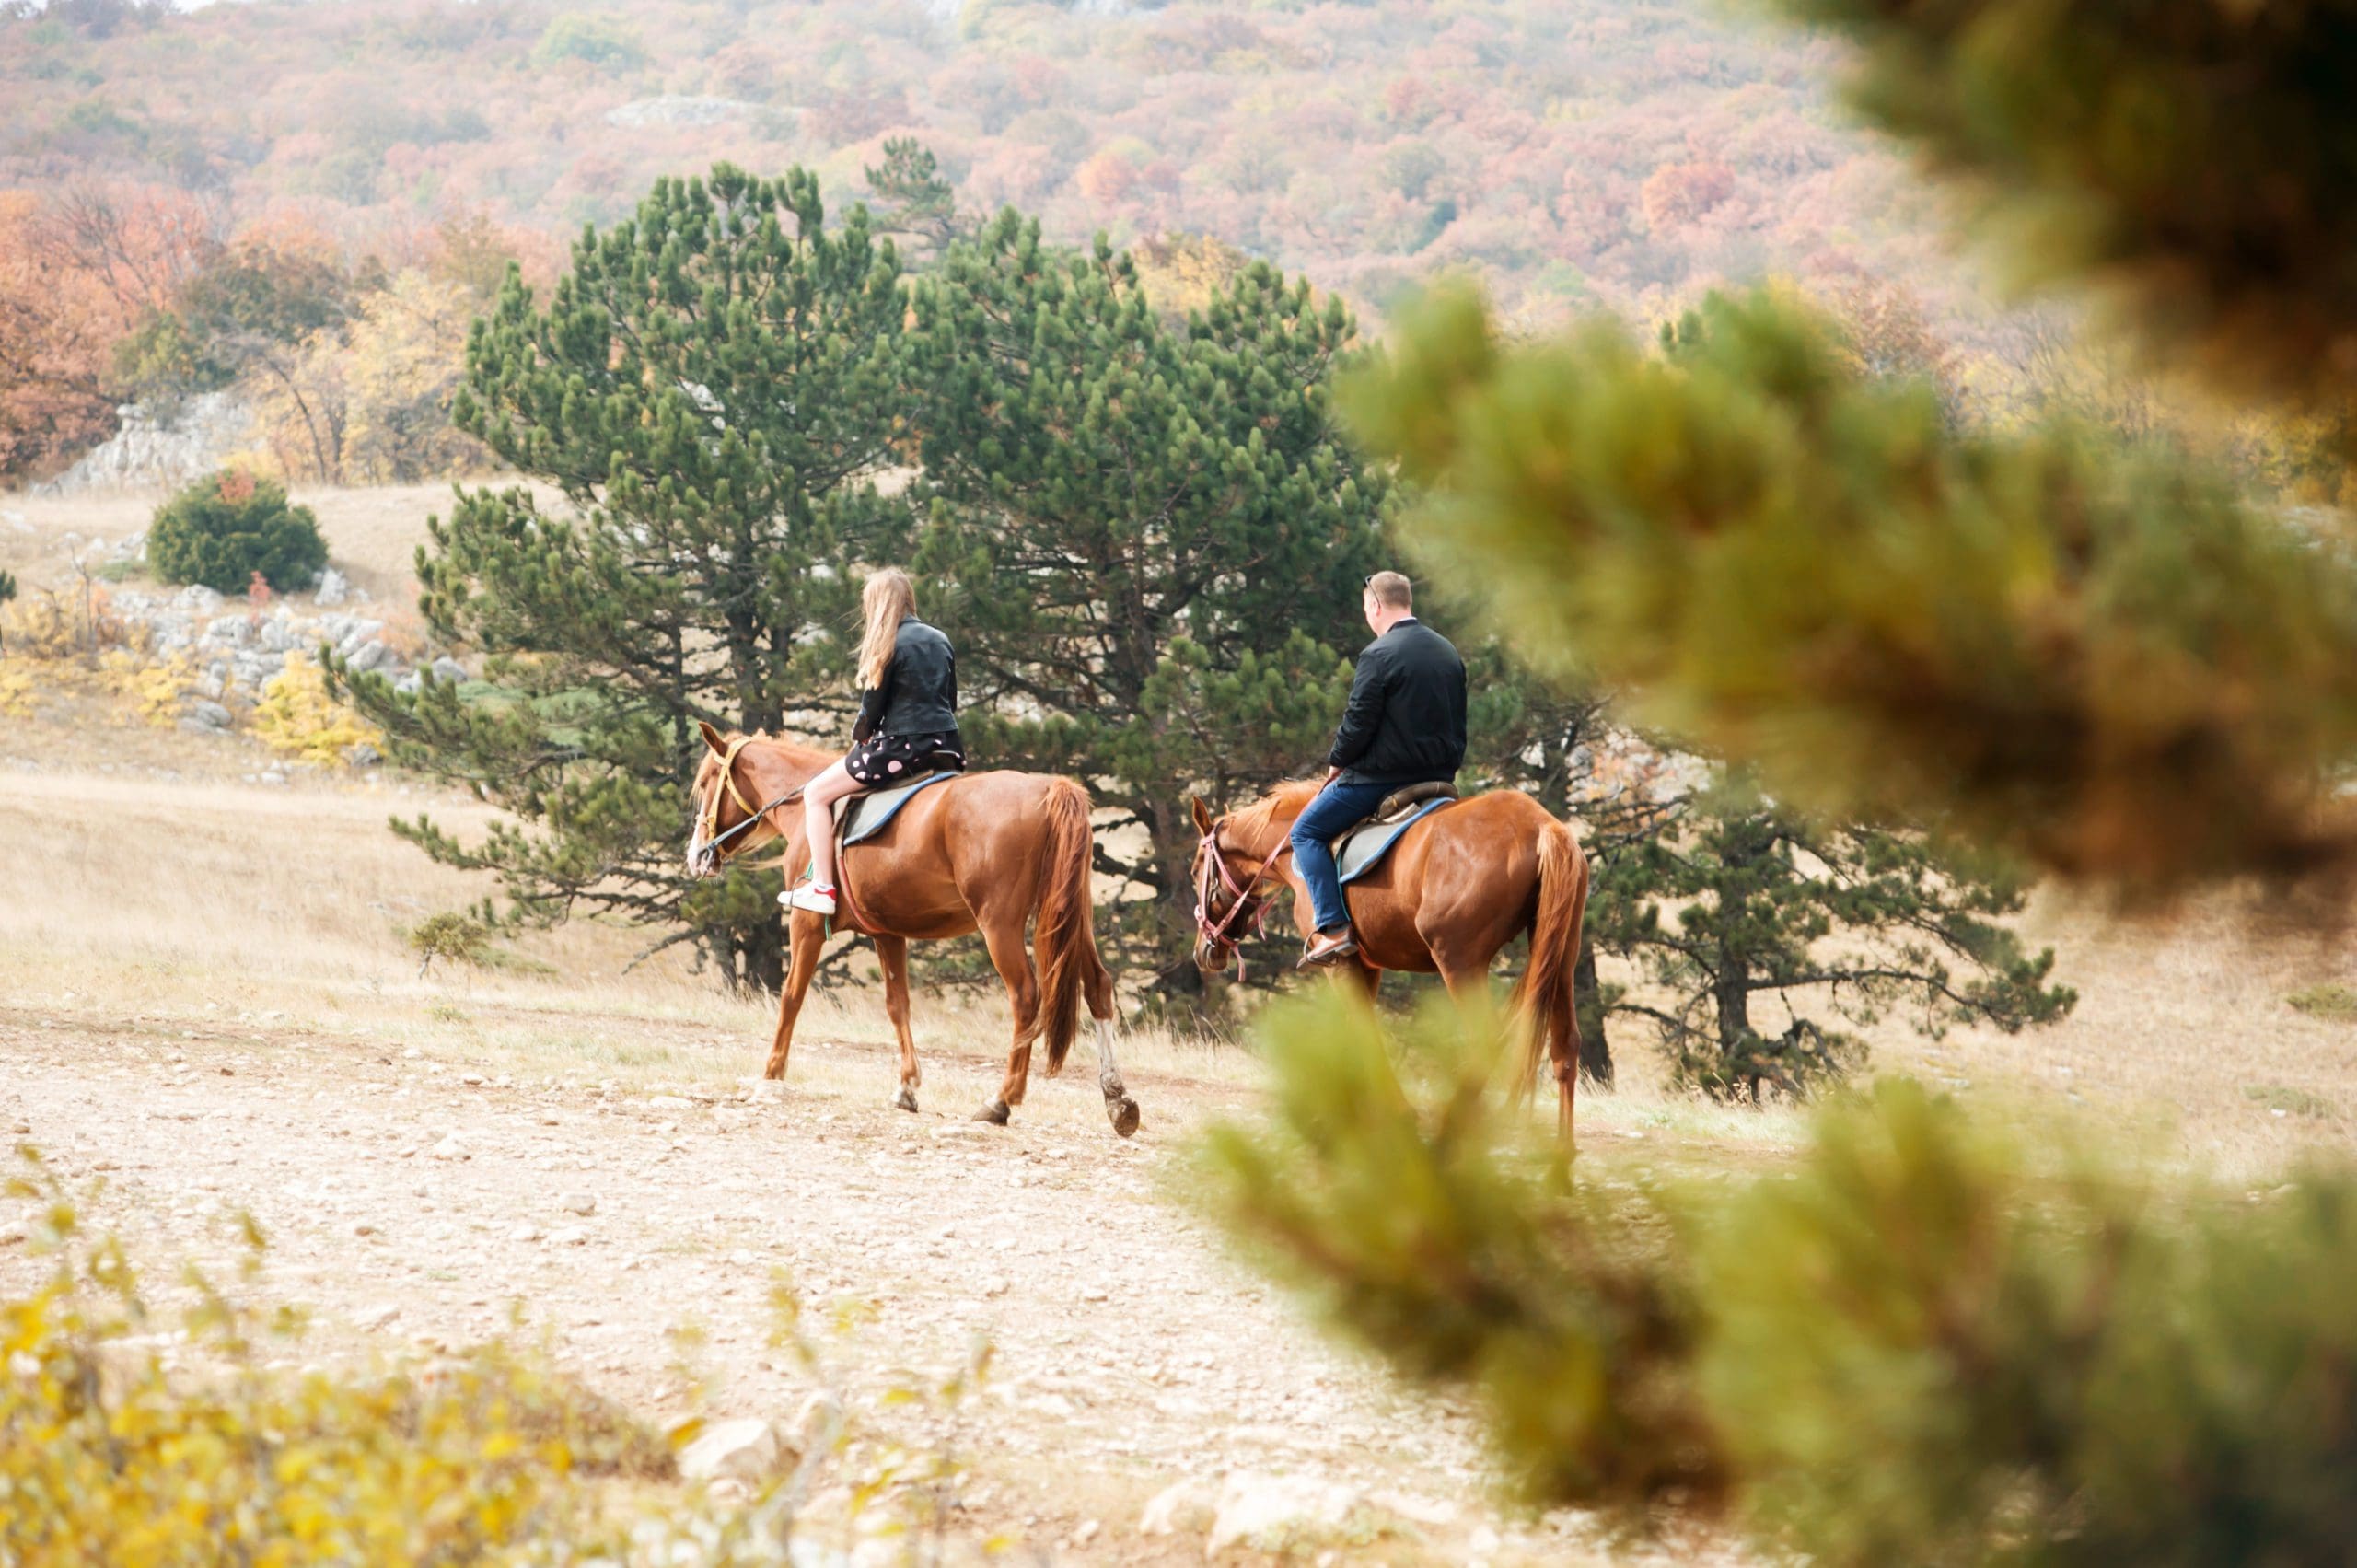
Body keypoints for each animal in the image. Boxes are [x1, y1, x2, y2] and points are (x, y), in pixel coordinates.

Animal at [683, 721, 1141, 1136]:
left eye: (705, 782)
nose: (696, 855)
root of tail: (1048, 789)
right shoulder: (888, 934)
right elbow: (897, 1005)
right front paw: (906, 1087)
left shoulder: (806, 924)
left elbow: (791, 996)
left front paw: (771, 1073)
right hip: (1074, 921)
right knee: (1098, 986)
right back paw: (1117, 1099)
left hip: (1001, 926)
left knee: (1025, 997)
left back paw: (1000, 1101)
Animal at [1188, 783, 1593, 1136]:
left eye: (1195, 871)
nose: (1203, 951)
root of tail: (1541, 825)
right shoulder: (1368, 965)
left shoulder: (1340, 964)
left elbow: (1365, 1032)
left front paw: (1393, 1112)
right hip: (1559, 960)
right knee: (1565, 1047)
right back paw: (1561, 1157)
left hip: (1459, 963)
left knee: (1486, 1044)